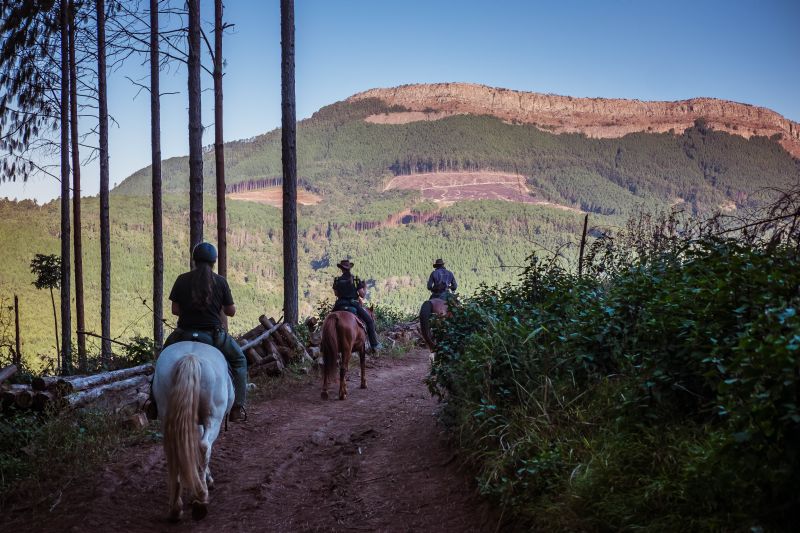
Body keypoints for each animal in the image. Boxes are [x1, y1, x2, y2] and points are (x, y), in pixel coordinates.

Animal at [152, 340, 234, 520]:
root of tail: (190, 357)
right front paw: (207, 481)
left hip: (168, 415)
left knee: (174, 450)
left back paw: (176, 508)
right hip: (214, 418)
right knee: (204, 446)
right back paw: (200, 499)